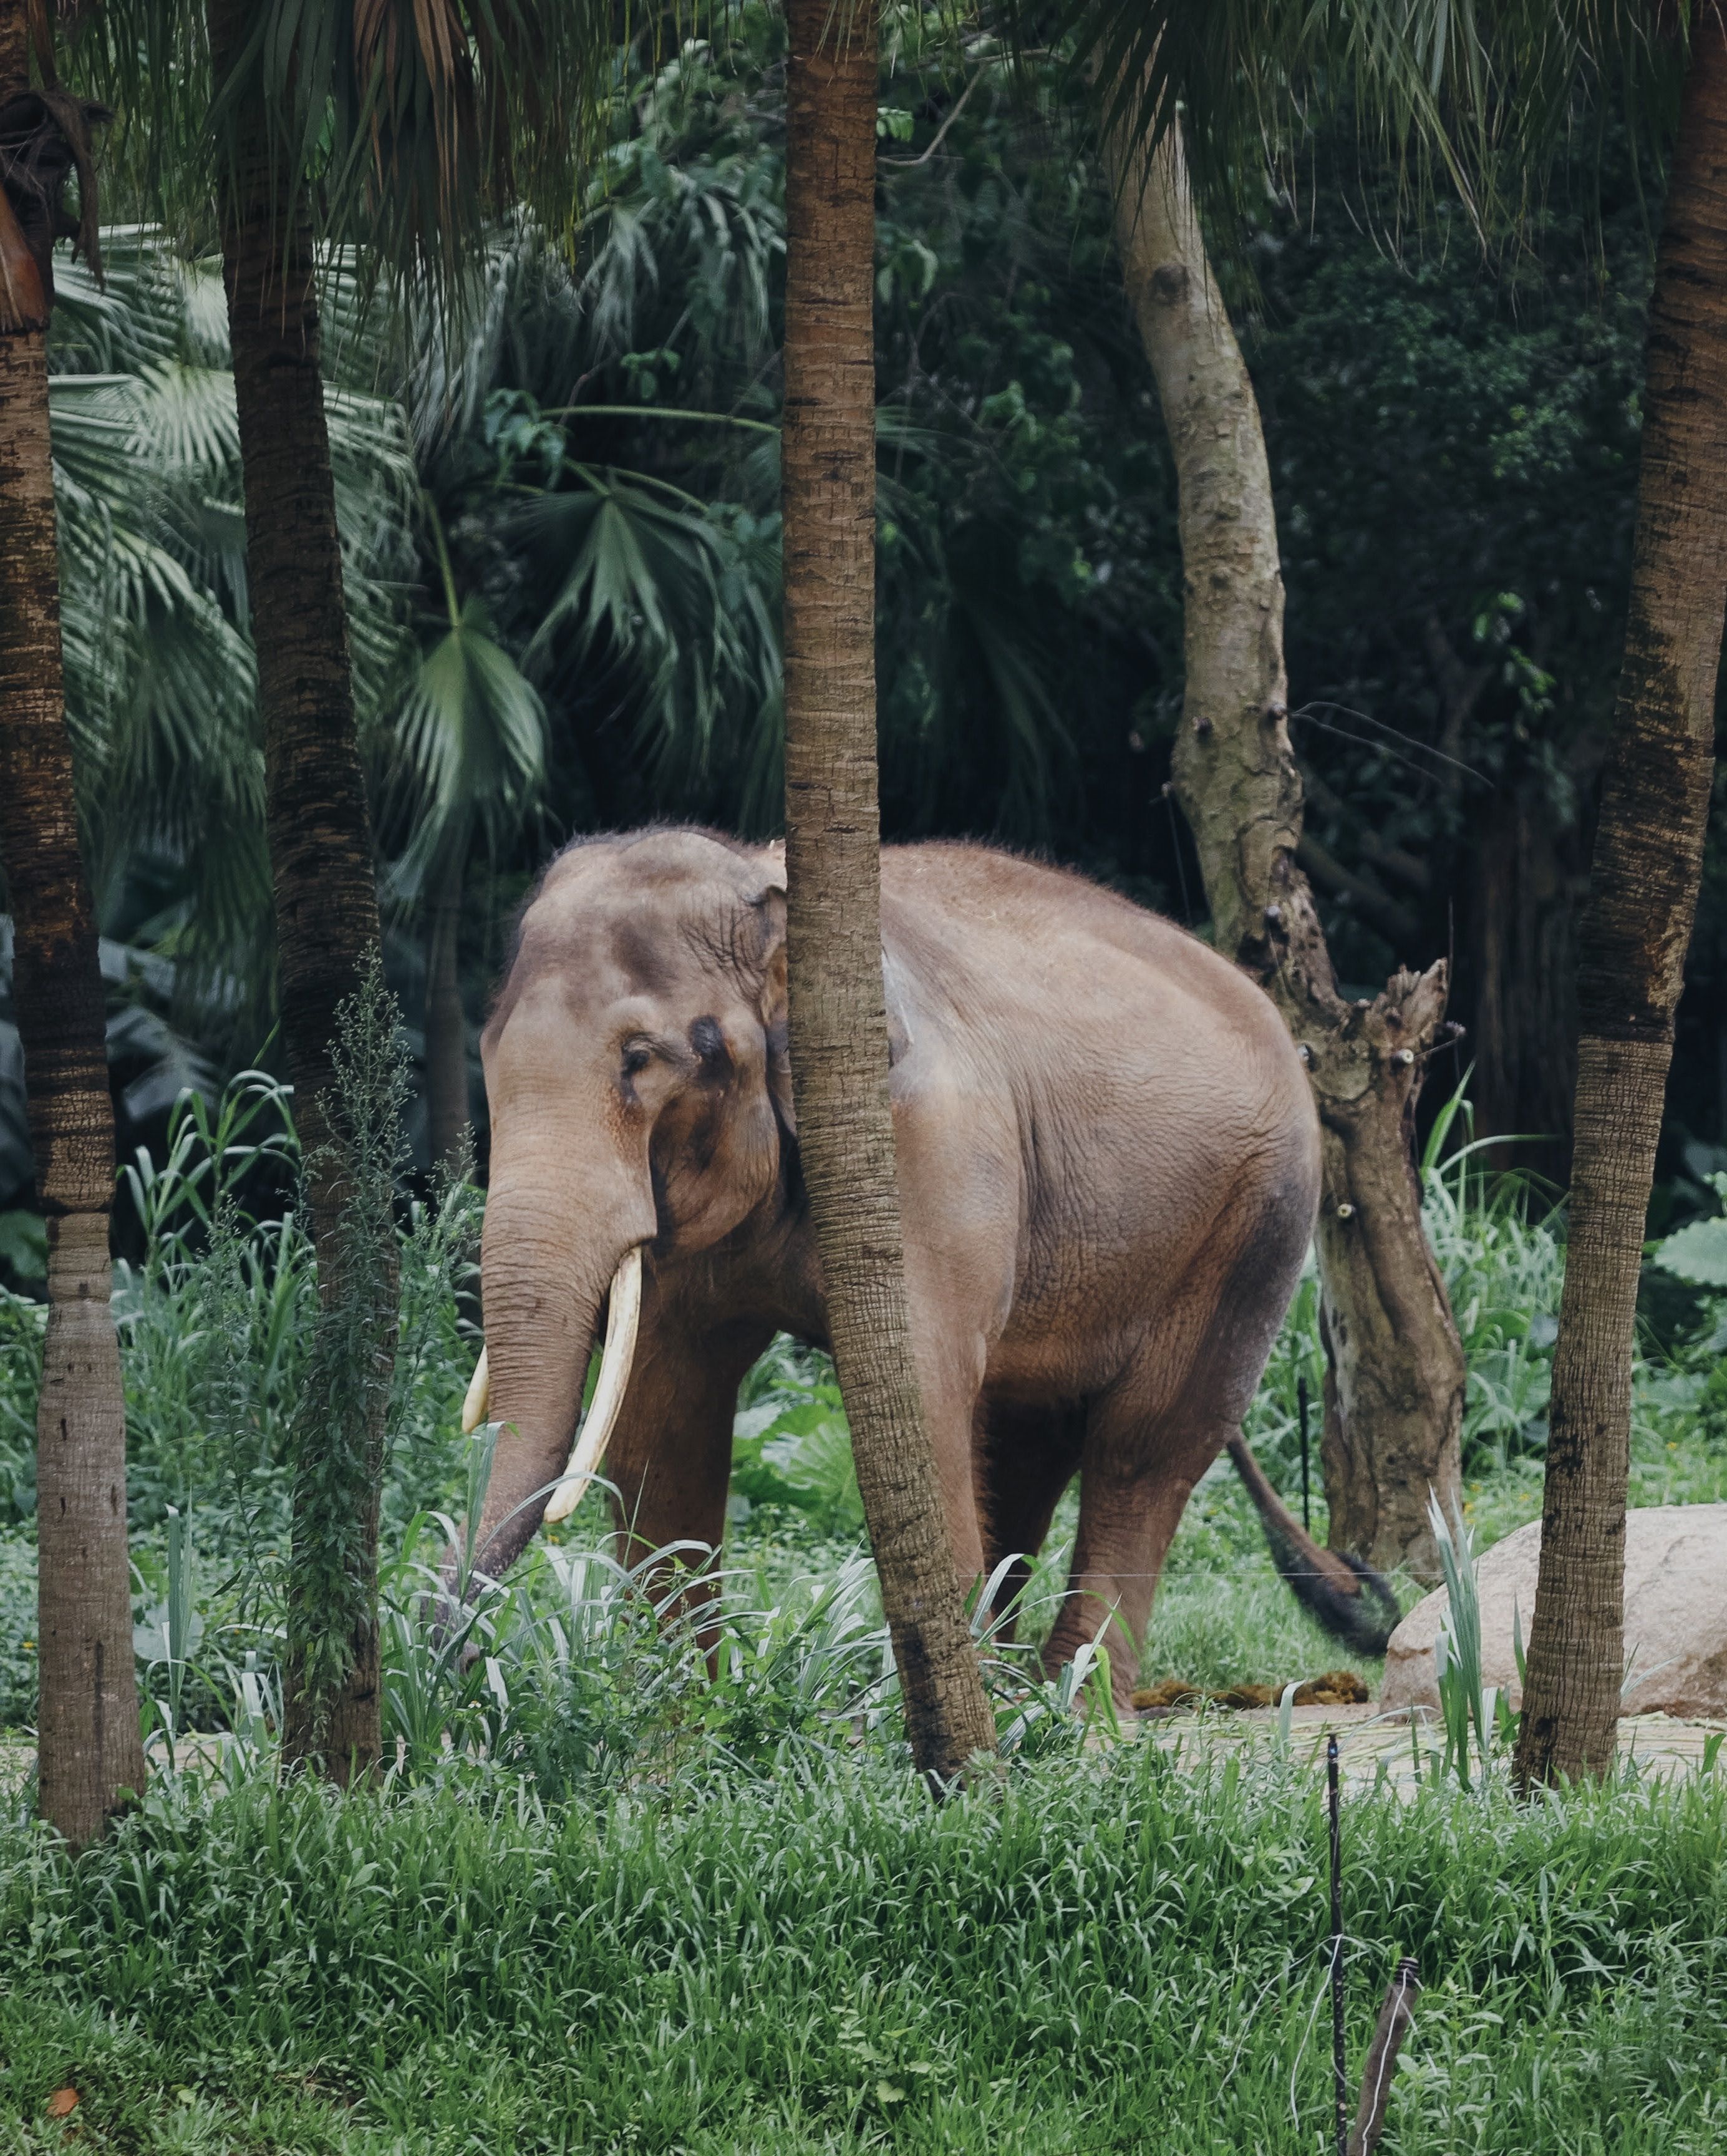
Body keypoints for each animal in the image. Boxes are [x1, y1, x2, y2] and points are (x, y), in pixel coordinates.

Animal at [463, 825, 1398, 1702]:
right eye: (486, 1049)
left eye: (639, 1060)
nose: (454, 1653)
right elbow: (665, 1410)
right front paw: (683, 1714)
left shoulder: (929, 1142)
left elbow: (924, 1386)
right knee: (1031, 1438)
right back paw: (1020, 1693)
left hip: (1259, 1217)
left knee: (1147, 1446)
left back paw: (1073, 1712)